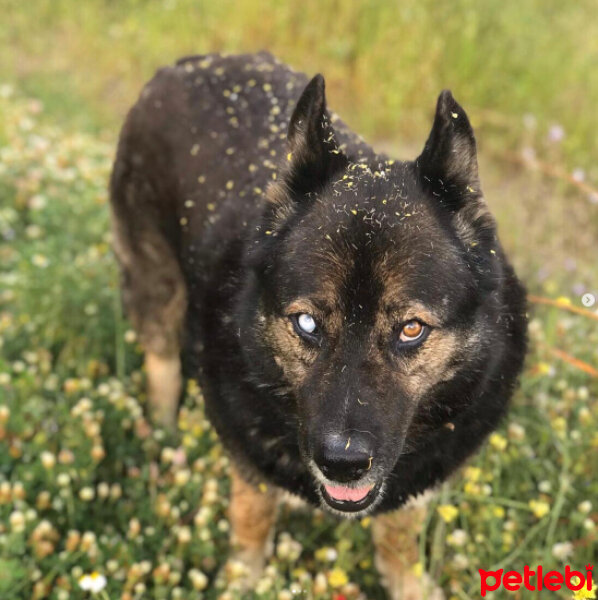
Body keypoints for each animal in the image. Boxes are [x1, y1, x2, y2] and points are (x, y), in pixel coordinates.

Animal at [110, 52, 528, 600]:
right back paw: (163, 437)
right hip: (156, 285)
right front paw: (243, 581)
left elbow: (399, 540)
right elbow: (251, 522)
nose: (341, 463)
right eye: (306, 323)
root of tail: (187, 63)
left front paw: (408, 583)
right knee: (161, 364)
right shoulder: (250, 462)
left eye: (411, 329)